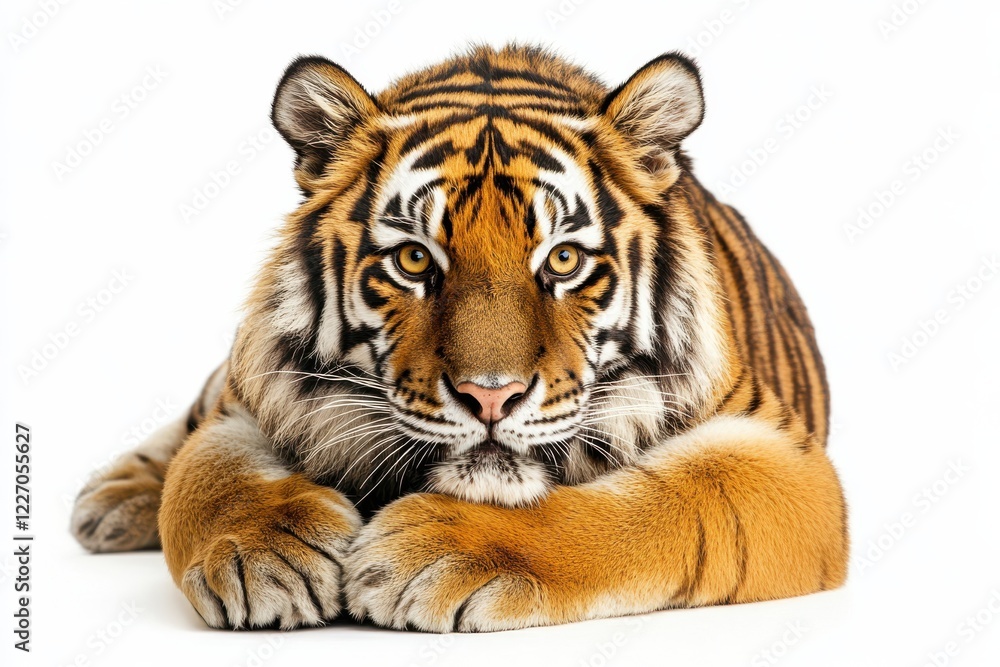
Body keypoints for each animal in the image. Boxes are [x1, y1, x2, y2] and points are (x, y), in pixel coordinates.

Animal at [70, 44, 848, 633]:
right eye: (415, 261)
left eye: (564, 260)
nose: (490, 397)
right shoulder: (248, 394)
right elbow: (208, 471)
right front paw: (261, 555)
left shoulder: (778, 454)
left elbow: (653, 508)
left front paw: (430, 555)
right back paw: (110, 503)